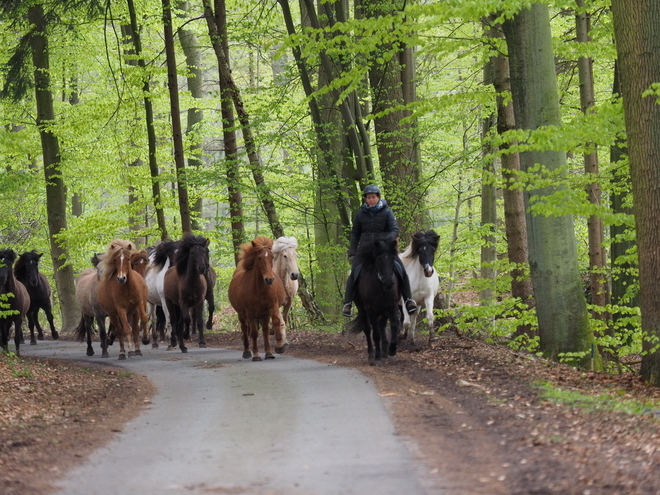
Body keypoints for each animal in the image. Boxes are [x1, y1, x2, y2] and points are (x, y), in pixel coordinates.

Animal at [228, 234, 288, 362]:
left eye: (271, 257)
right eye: (259, 258)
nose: (269, 279)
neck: (259, 289)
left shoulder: (272, 307)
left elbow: (276, 323)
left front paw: (278, 347)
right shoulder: (250, 313)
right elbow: (254, 333)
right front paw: (256, 355)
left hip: (263, 315)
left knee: (265, 330)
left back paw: (268, 353)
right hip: (242, 314)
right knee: (245, 328)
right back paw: (246, 352)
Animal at [346, 232, 402, 364]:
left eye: (393, 259)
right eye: (379, 260)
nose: (388, 283)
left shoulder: (392, 306)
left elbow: (394, 325)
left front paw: (392, 349)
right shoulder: (371, 310)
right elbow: (375, 334)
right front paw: (377, 357)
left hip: (384, 309)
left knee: (382, 324)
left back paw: (385, 349)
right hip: (362, 309)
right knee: (368, 329)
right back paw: (372, 353)